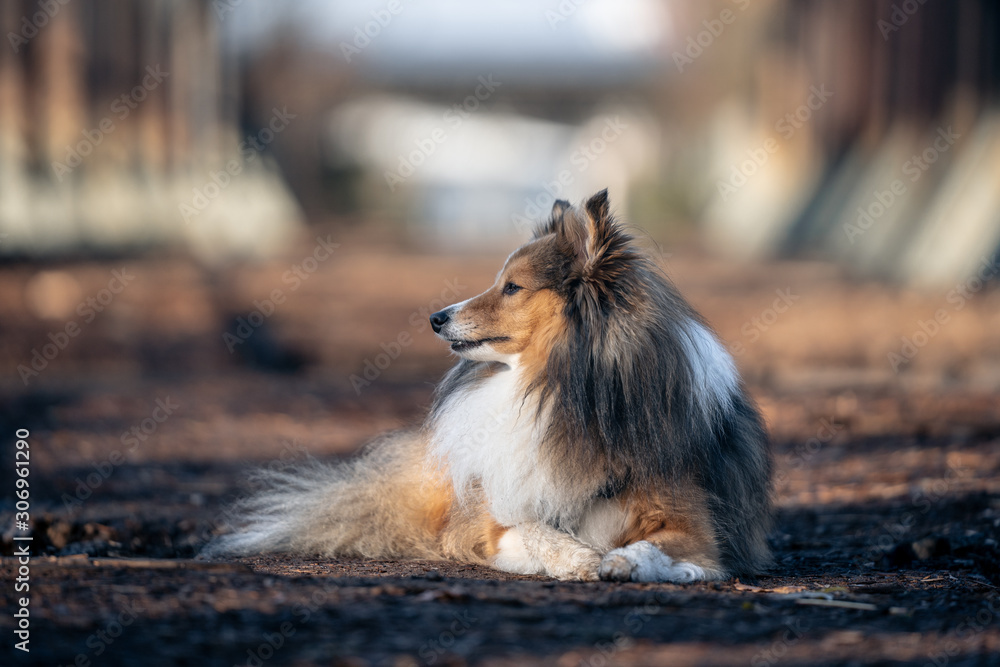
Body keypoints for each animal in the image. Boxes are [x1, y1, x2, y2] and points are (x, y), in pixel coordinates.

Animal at [207, 189, 772, 584]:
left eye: (513, 287)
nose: (436, 318)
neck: (552, 394)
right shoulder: (495, 521)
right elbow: (533, 529)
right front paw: (578, 559)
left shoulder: (694, 527)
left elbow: (653, 548)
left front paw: (620, 562)